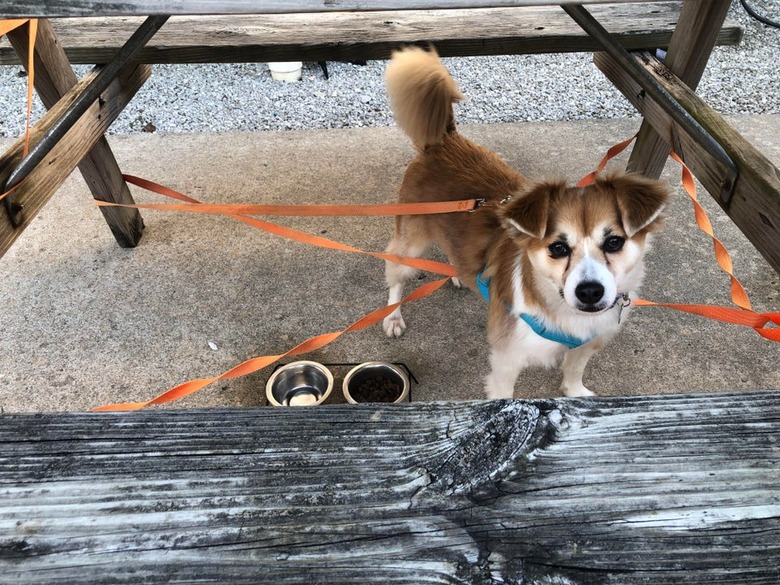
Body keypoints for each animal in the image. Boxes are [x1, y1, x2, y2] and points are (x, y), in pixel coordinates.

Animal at [380, 48, 668, 400]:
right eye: (558, 248)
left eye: (614, 242)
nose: (589, 291)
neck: (562, 311)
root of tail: (443, 140)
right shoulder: (507, 359)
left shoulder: (586, 344)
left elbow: (574, 370)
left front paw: (575, 392)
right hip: (410, 241)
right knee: (395, 273)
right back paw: (393, 315)